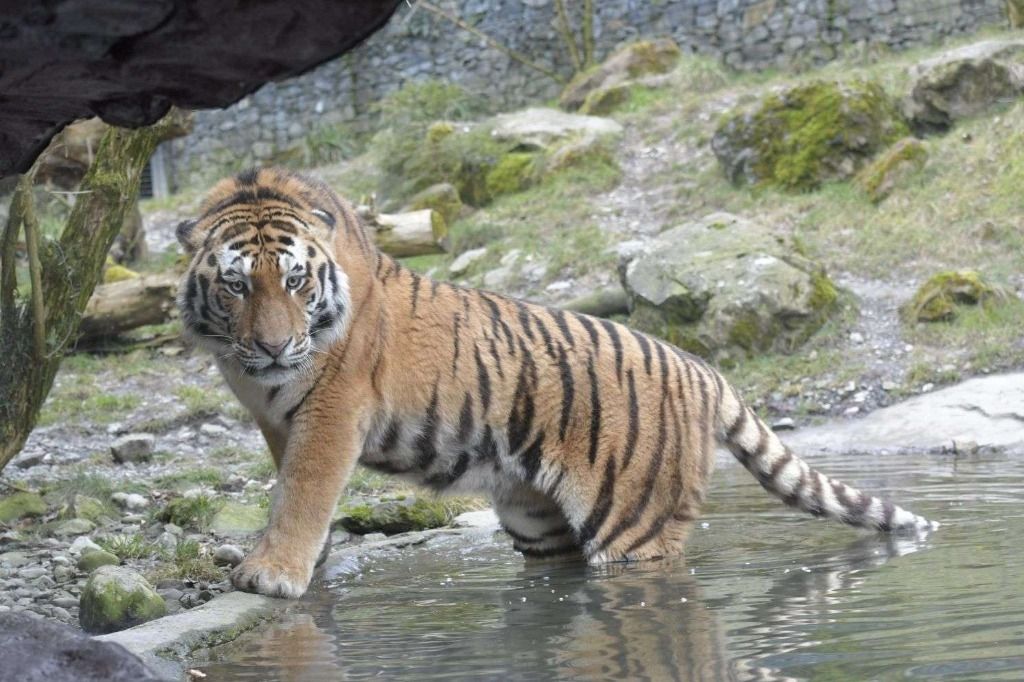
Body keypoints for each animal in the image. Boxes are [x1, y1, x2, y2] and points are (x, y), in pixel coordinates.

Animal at [176, 167, 936, 598]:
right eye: (237, 286)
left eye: (296, 282)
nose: (275, 347)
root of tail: (701, 369)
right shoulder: (277, 416)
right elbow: (291, 485)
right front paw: (313, 561)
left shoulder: (332, 407)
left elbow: (304, 489)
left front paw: (271, 575)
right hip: (537, 518)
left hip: (634, 524)